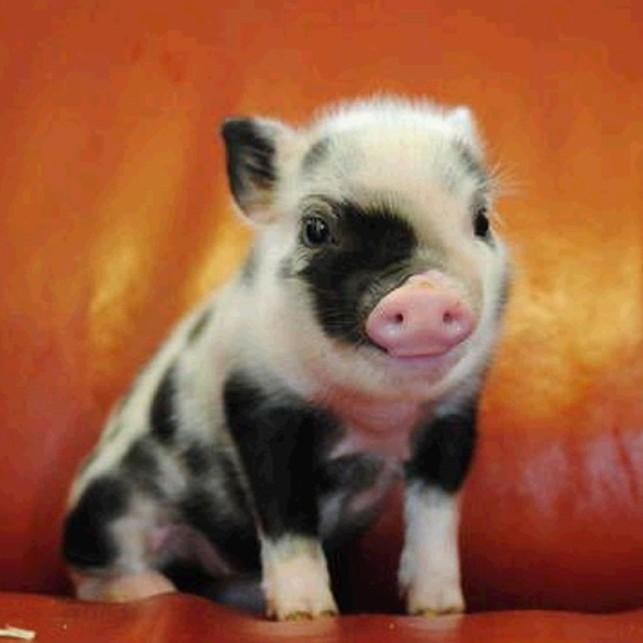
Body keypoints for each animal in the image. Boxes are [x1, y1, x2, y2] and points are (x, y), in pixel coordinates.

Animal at [62, 96, 510, 620]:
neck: (374, 413)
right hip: (107, 506)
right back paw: (148, 591)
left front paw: (440, 610)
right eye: (315, 229)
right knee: (94, 565)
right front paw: (306, 614)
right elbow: (286, 514)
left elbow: (436, 516)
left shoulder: (453, 417)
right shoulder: (259, 402)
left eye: (481, 221)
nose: (425, 294)